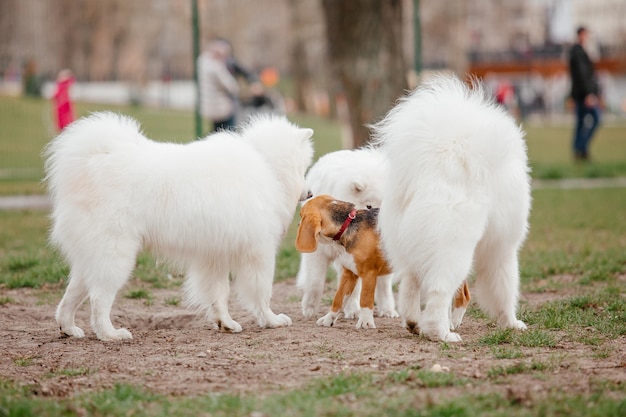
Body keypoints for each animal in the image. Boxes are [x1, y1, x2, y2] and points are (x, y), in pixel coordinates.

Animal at [45, 112, 312, 340]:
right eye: (304, 167)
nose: (310, 193)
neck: (266, 165)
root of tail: (93, 160)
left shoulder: (215, 255)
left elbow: (219, 294)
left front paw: (225, 323)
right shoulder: (259, 252)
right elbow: (262, 292)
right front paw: (272, 320)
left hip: (92, 255)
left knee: (71, 295)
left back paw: (69, 328)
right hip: (115, 254)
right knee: (99, 299)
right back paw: (110, 334)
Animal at [296, 148, 394, 320]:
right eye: (369, 206)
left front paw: (353, 310)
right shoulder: (320, 253)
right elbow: (315, 282)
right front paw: (309, 308)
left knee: (384, 283)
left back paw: (387, 309)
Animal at [296, 193, 468, 330]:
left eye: (301, 215)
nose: (297, 224)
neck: (348, 224)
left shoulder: (369, 274)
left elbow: (365, 300)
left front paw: (365, 322)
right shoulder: (349, 274)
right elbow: (338, 300)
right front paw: (328, 319)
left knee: (464, 296)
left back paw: (453, 322)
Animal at [372, 75, 528, 342]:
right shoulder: (502, 250)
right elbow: (505, 290)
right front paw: (511, 323)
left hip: (409, 248)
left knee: (409, 286)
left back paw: (414, 324)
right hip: (453, 253)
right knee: (438, 293)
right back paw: (442, 334)